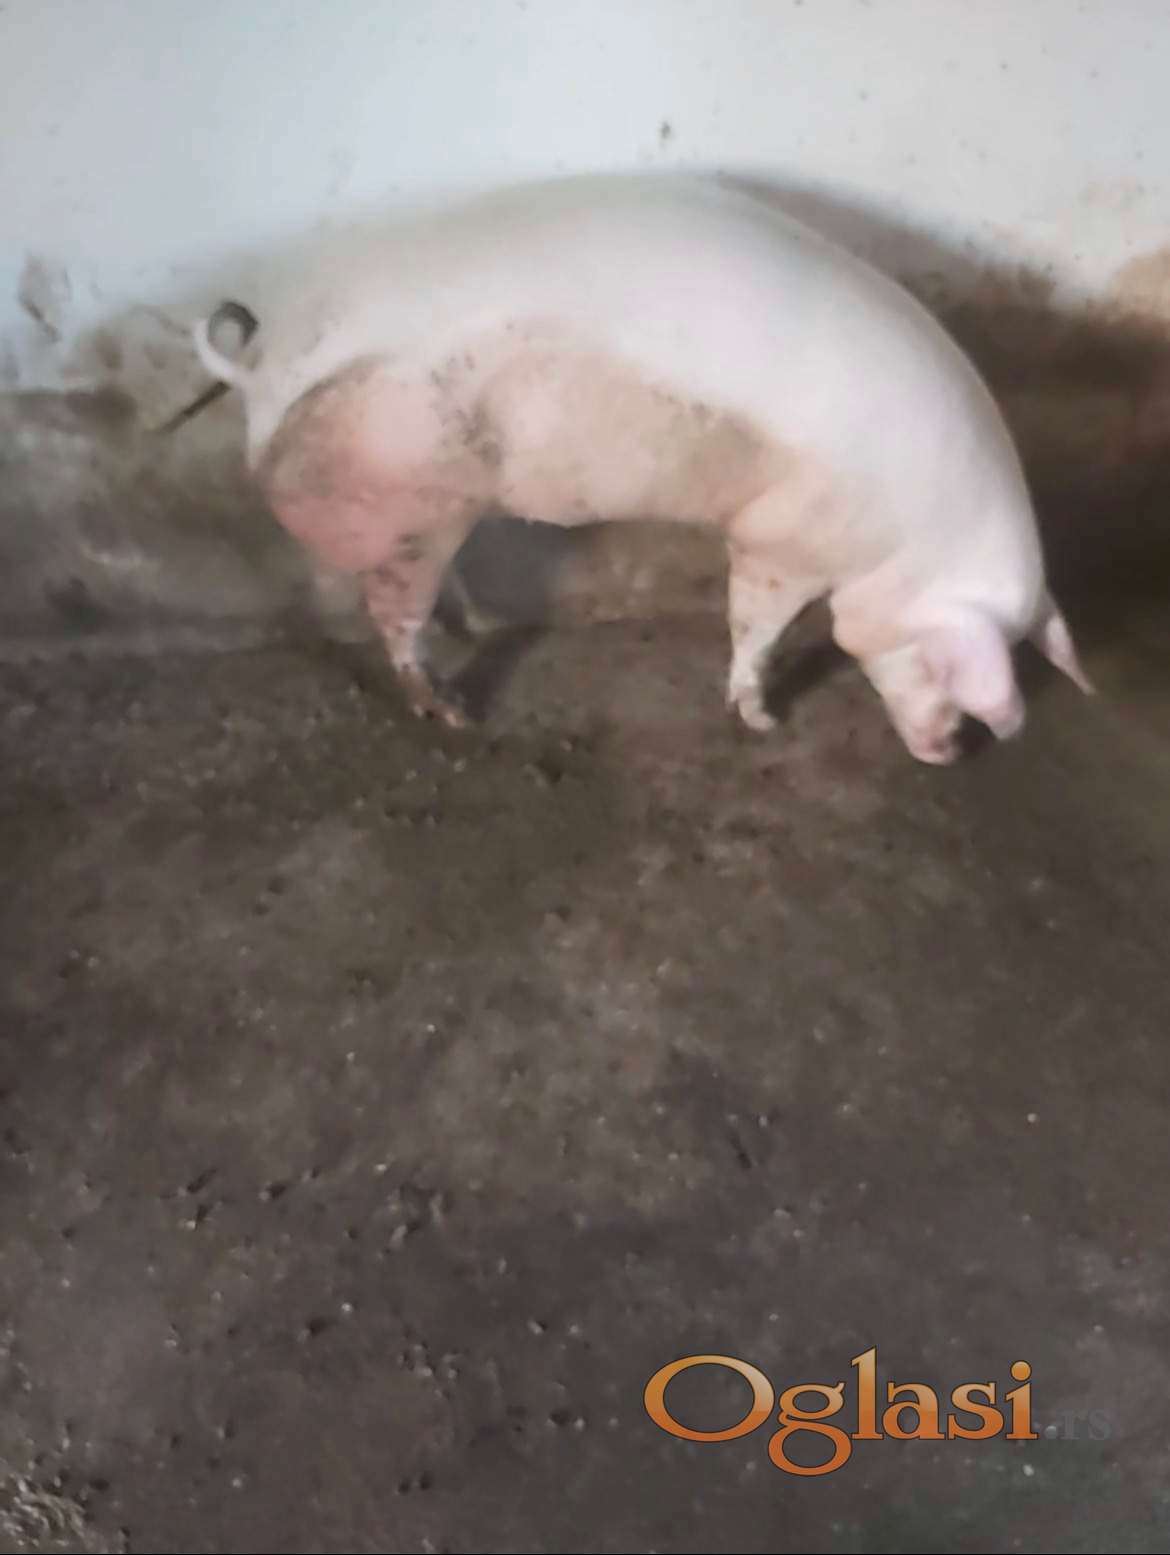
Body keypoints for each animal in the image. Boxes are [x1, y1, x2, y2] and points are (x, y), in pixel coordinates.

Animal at [193, 173, 1091, 762]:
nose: (952, 751)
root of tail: (259, 368)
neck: (910, 537)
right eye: (944, 661)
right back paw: (451, 712)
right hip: (407, 497)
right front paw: (763, 720)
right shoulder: (778, 536)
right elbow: (756, 622)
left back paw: (462, 632)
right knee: (391, 615)